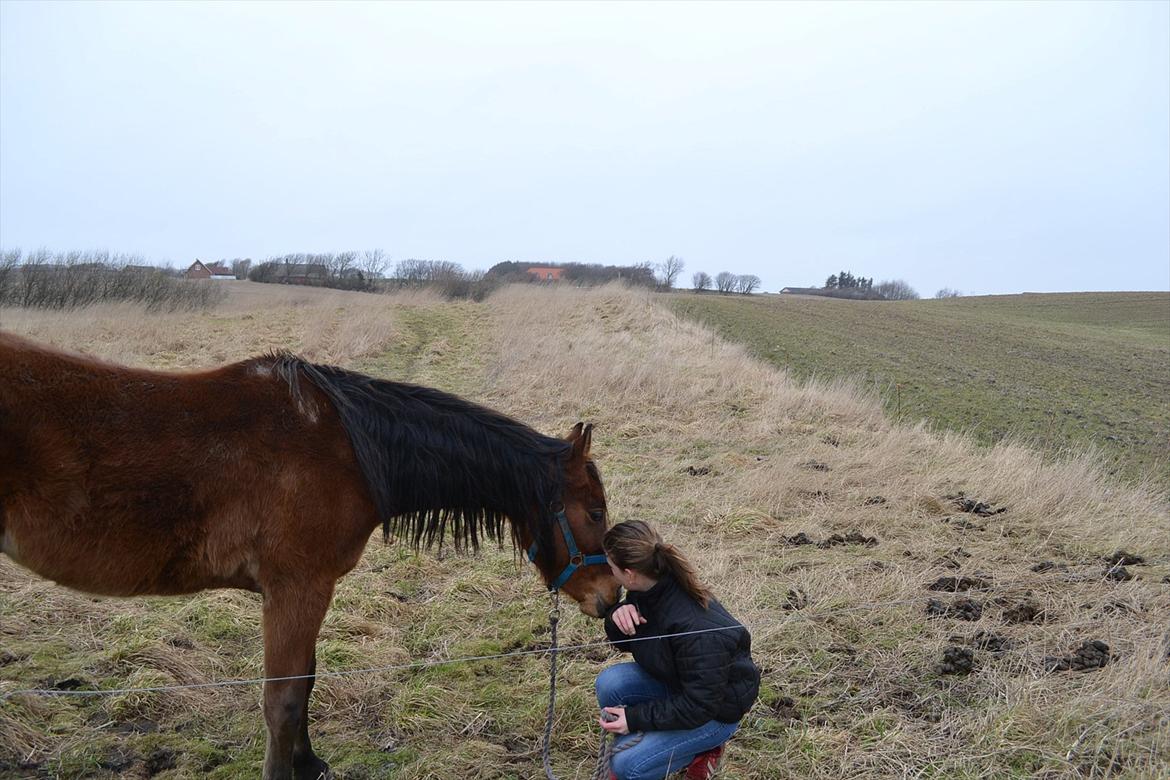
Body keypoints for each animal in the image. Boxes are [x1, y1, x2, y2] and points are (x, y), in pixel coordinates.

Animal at [0, 334, 622, 780]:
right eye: (594, 511)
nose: (611, 597)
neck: (347, 450)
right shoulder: (297, 587)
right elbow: (283, 697)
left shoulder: (308, 590)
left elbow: (306, 681)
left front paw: (309, 763)